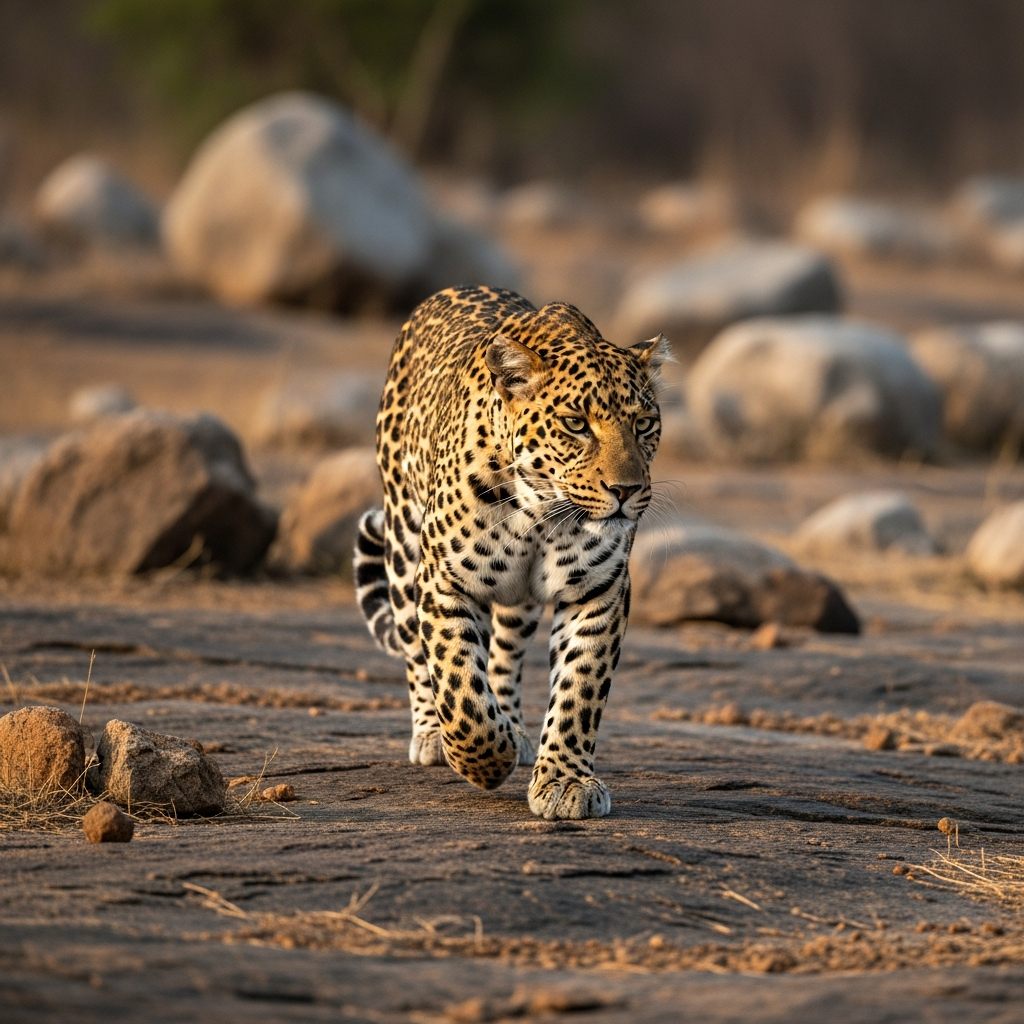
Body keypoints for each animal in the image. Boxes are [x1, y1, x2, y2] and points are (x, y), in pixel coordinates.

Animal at [354, 284, 669, 820]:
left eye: (644, 424)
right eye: (575, 424)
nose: (626, 490)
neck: (540, 511)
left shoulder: (598, 591)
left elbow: (578, 689)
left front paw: (565, 780)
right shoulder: (444, 581)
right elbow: (458, 686)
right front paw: (485, 757)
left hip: (516, 601)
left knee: (504, 654)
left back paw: (513, 724)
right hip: (401, 545)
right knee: (418, 654)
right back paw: (434, 734)